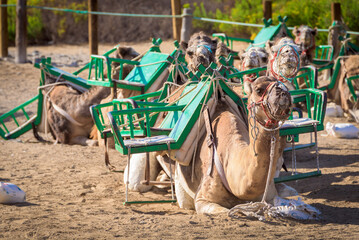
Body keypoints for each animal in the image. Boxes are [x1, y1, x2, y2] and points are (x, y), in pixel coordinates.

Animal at [176, 76, 294, 213]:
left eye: (280, 82)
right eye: (258, 90)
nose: (283, 91)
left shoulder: (269, 194)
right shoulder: (202, 199)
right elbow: (225, 211)